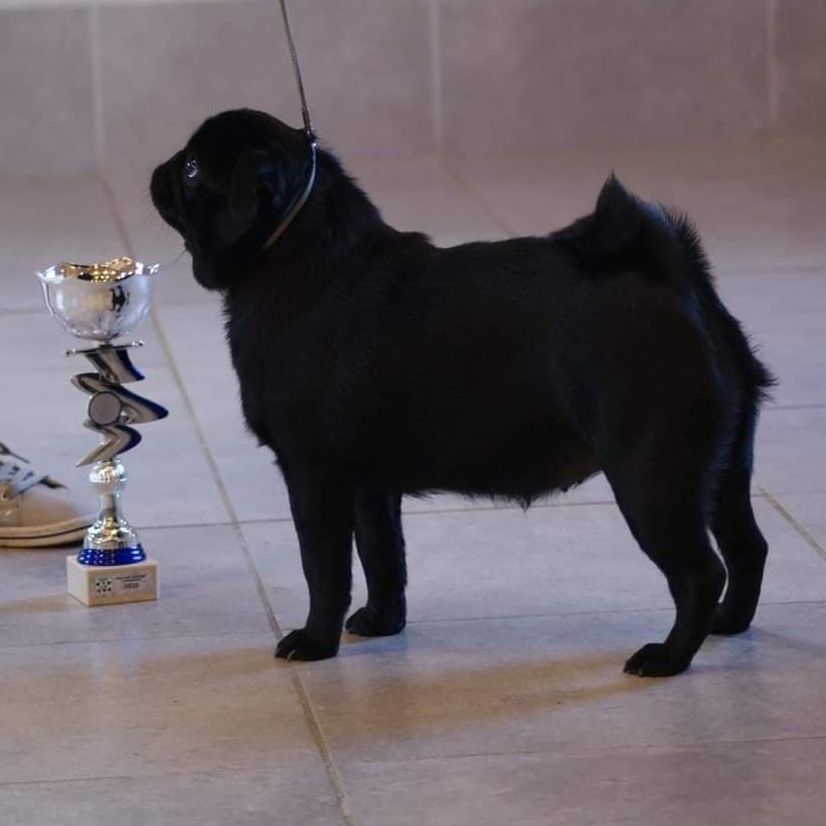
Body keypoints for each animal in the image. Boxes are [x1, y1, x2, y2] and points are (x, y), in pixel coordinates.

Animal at [151, 109, 773, 676]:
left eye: (192, 170)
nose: (160, 168)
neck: (298, 258)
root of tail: (677, 282)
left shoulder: (314, 475)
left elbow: (324, 567)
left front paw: (315, 642)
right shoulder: (370, 485)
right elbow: (384, 557)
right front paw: (383, 623)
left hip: (652, 478)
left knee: (699, 572)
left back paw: (669, 657)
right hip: (722, 469)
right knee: (747, 548)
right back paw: (728, 623)